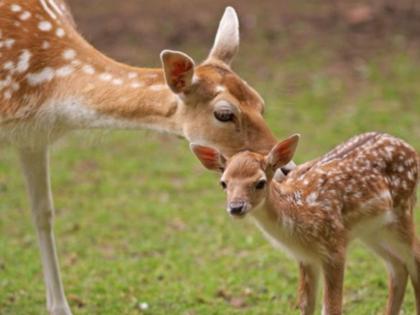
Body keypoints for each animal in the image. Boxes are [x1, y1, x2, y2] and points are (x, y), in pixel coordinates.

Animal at [0, 1, 282, 314]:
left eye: (260, 102)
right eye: (223, 113)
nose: (286, 167)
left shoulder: (32, 137)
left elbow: (43, 213)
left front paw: (60, 307)